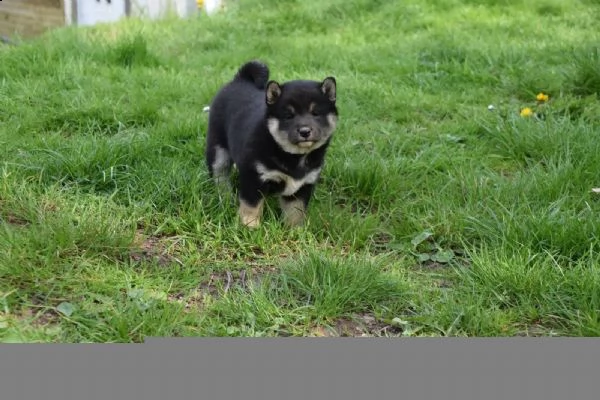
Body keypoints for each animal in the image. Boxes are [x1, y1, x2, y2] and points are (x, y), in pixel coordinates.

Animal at [205, 60, 338, 227]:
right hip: (218, 149)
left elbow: (296, 211)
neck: (294, 155)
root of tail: (240, 79)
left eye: (316, 114)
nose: (305, 131)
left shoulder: (302, 186)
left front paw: (295, 230)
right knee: (220, 175)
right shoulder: (254, 177)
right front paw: (250, 226)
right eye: (288, 116)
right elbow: (251, 206)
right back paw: (225, 196)